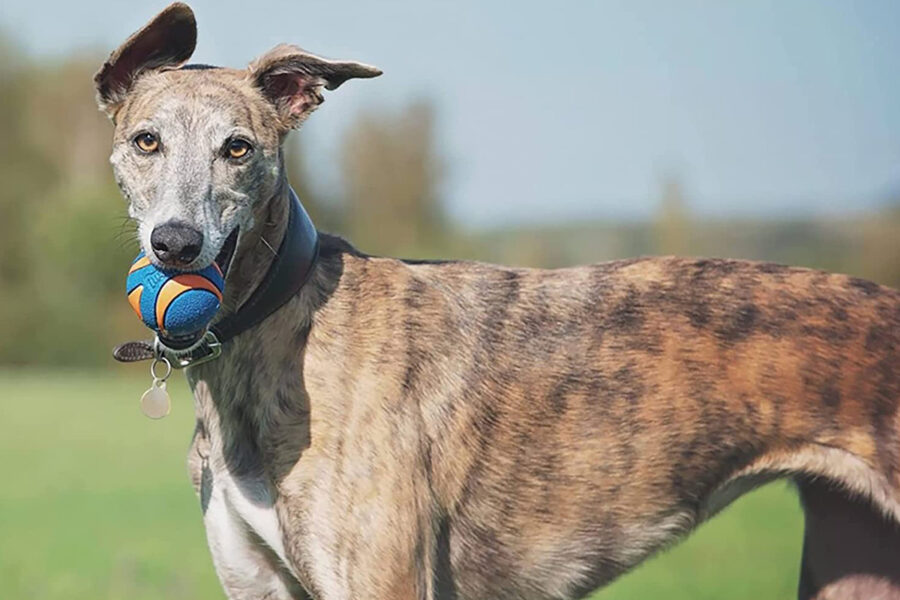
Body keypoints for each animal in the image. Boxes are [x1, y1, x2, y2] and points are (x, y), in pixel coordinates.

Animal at [98, 4, 900, 600]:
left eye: (238, 148)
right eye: (146, 141)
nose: (176, 245)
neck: (285, 323)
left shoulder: (383, 578)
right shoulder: (259, 582)